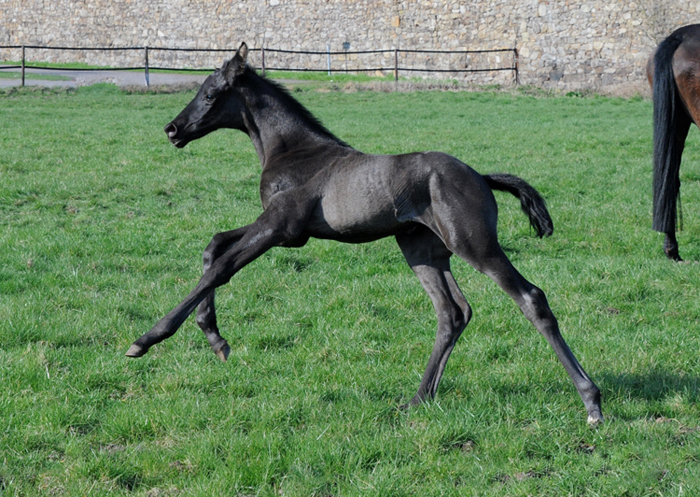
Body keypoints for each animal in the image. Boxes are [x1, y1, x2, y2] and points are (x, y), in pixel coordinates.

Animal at [126, 41, 600, 422]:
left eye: (210, 93)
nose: (172, 130)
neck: (294, 151)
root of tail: (481, 176)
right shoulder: (282, 228)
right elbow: (214, 245)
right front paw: (215, 338)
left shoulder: (281, 226)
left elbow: (222, 266)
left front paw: (147, 339)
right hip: (422, 250)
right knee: (453, 313)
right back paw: (418, 399)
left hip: (474, 244)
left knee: (530, 298)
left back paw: (591, 401)